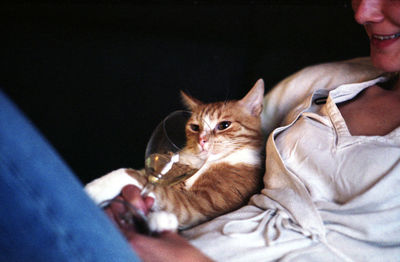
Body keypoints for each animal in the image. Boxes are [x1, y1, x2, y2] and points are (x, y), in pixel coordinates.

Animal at [85, 79, 266, 230]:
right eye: (195, 127)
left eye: (224, 125)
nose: (202, 140)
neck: (209, 163)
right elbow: (145, 175)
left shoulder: (199, 205)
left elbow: (139, 178)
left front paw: (97, 187)